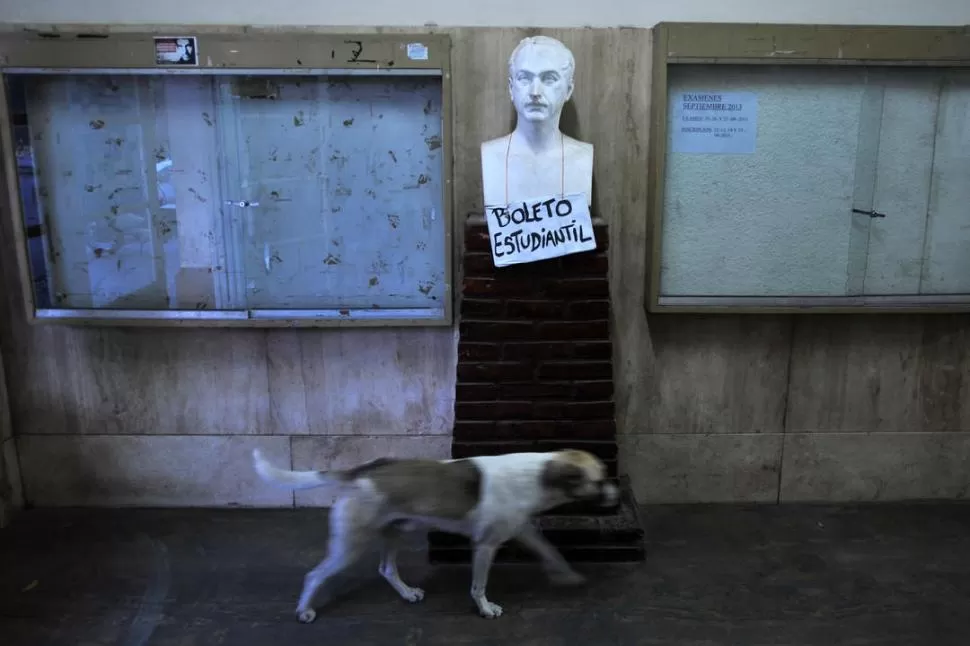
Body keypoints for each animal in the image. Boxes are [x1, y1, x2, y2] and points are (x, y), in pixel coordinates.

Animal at [253, 450, 616, 624]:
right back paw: (304, 611)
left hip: (397, 532)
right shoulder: (485, 545)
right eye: (599, 481)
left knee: (386, 569)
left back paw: (407, 593)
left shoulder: (522, 529)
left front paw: (567, 576)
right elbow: (478, 586)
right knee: (315, 575)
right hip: (350, 545)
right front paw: (485, 609)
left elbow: (550, 550)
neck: (540, 474)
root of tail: (364, 470)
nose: (619, 494)